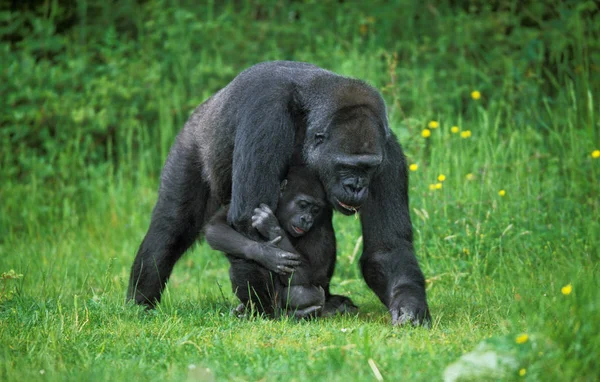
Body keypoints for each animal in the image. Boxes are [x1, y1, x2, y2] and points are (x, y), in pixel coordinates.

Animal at [205, 166, 328, 318]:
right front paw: (266, 253)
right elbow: (216, 227)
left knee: (309, 293)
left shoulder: (319, 228)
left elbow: (310, 275)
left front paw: (272, 227)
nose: (307, 219)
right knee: (242, 261)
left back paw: (295, 314)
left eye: (315, 210)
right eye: (303, 205)